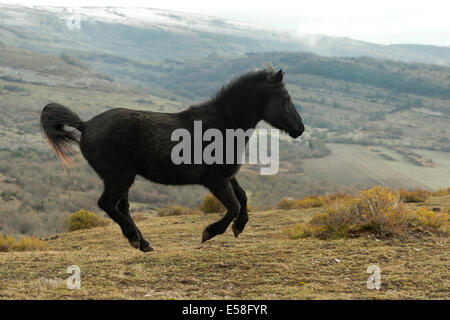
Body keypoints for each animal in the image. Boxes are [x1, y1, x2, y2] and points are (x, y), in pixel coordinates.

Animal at [40, 68, 304, 252]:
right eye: (286, 98)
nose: (300, 129)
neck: (222, 125)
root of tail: (85, 125)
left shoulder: (226, 176)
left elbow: (243, 197)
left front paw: (239, 227)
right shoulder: (216, 181)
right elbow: (233, 206)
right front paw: (210, 232)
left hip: (122, 179)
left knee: (120, 207)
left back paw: (143, 243)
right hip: (119, 177)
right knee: (107, 204)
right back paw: (137, 240)